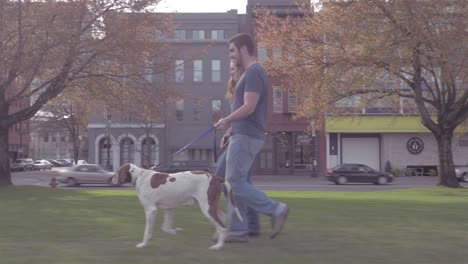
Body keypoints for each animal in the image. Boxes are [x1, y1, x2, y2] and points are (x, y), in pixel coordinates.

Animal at [112, 162, 243, 251]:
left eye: (118, 172)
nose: (111, 179)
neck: (140, 176)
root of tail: (217, 177)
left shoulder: (151, 210)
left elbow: (147, 231)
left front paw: (144, 244)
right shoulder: (168, 208)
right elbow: (166, 227)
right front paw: (175, 231)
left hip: (207, 208)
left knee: (222, 226)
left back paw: (218, 246)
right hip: (210, 206)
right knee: (223, 218)